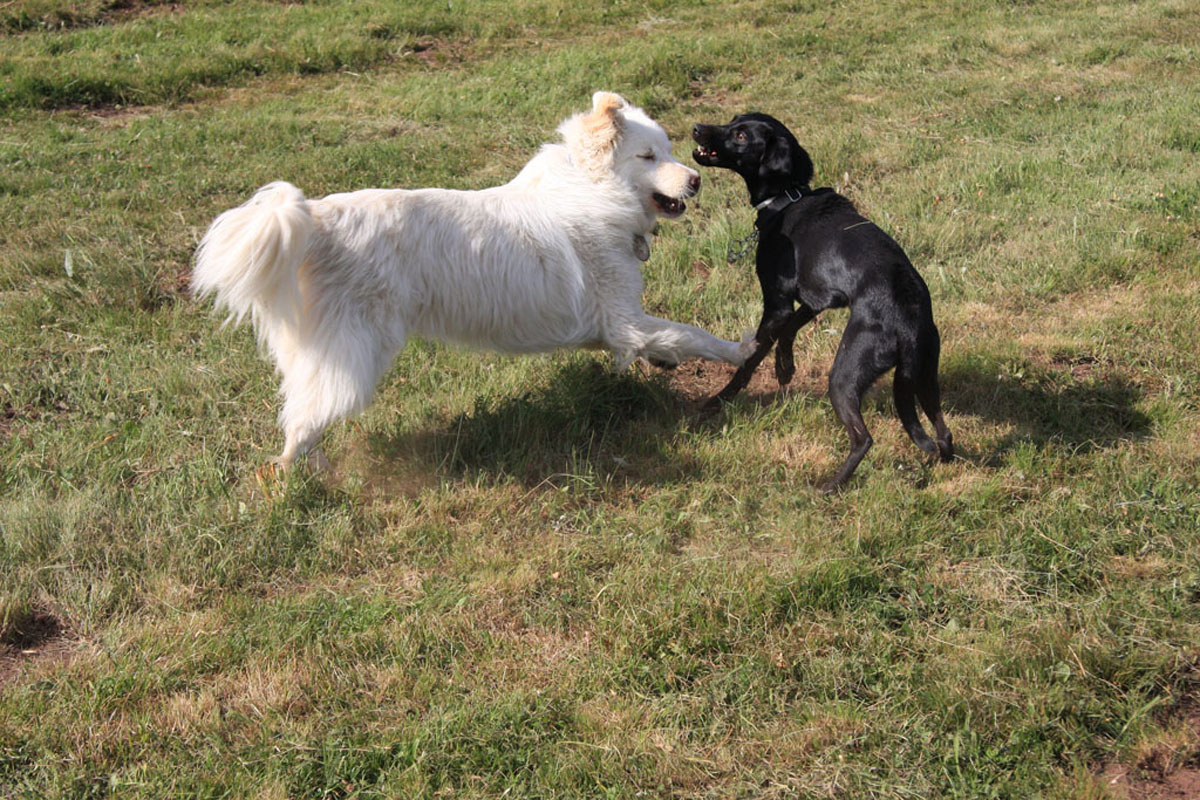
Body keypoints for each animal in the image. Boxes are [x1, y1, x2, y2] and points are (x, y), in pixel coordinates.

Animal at [194, 94, 748, 470]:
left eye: (669, 150)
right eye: (648, 157)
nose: (697, 180)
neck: (594, 190)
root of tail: (314, 217)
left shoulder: (620, 328)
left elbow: (671, 342)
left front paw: (666, 361)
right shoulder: (626, 319)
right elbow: (697, 336)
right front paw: (745, 349)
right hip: (354, 354)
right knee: (303, 423)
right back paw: (296, 480)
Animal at [691, 110, 950, 489]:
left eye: (741, 136)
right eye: (733, 120)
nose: (696, 129)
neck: (789, 197)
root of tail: (908, 320)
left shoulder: (778, 303)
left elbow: (750, 359)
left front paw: (719, 400)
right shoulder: (818, 300)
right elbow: (789, 333)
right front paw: (785, 368)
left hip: (844, 376)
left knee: (863, 438)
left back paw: (831, 486)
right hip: (925, 377)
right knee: (943, 432)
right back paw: (946, 462)